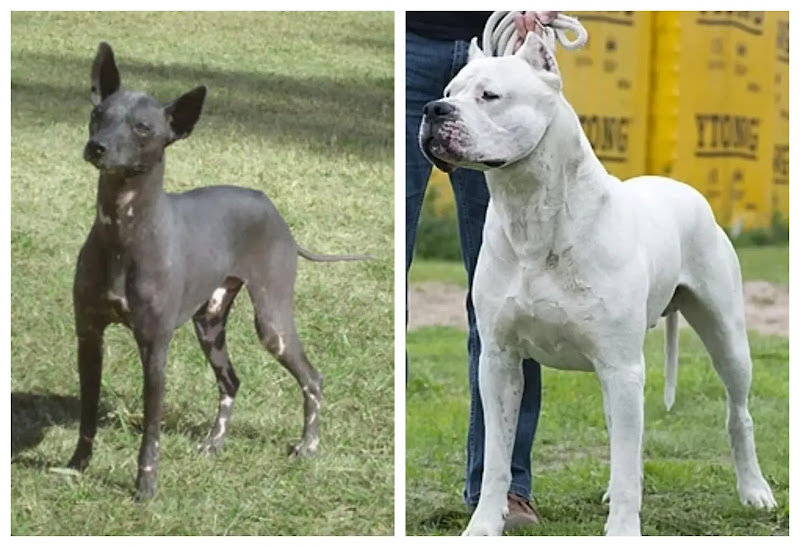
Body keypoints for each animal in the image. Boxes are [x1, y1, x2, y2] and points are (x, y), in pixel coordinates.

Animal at [67, 42, 370, 500]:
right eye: (98, 114)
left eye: (142, 128)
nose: (96, 147)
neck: (122, 234)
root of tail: (273, 209)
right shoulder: (88, 335)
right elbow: (87, 411)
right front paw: (76, 466)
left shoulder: (154, 347)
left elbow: (151, 431)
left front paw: (146, 488)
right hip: (208, 323)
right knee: (231, 383)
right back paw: (214, 443)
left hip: (272, 323)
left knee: (312, 378)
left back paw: (308, 446)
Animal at [418, 33, 776, 536]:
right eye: (449, 91)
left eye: (489, 95)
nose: (434, 109)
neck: (531, 213)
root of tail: (685, 189)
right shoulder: (499, 362)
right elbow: (496, 459)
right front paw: (484, 526)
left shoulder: (621, 366)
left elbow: (625, 463)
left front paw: (623, 530)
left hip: (725, 338)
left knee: (737, 414)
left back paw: (754, 491)